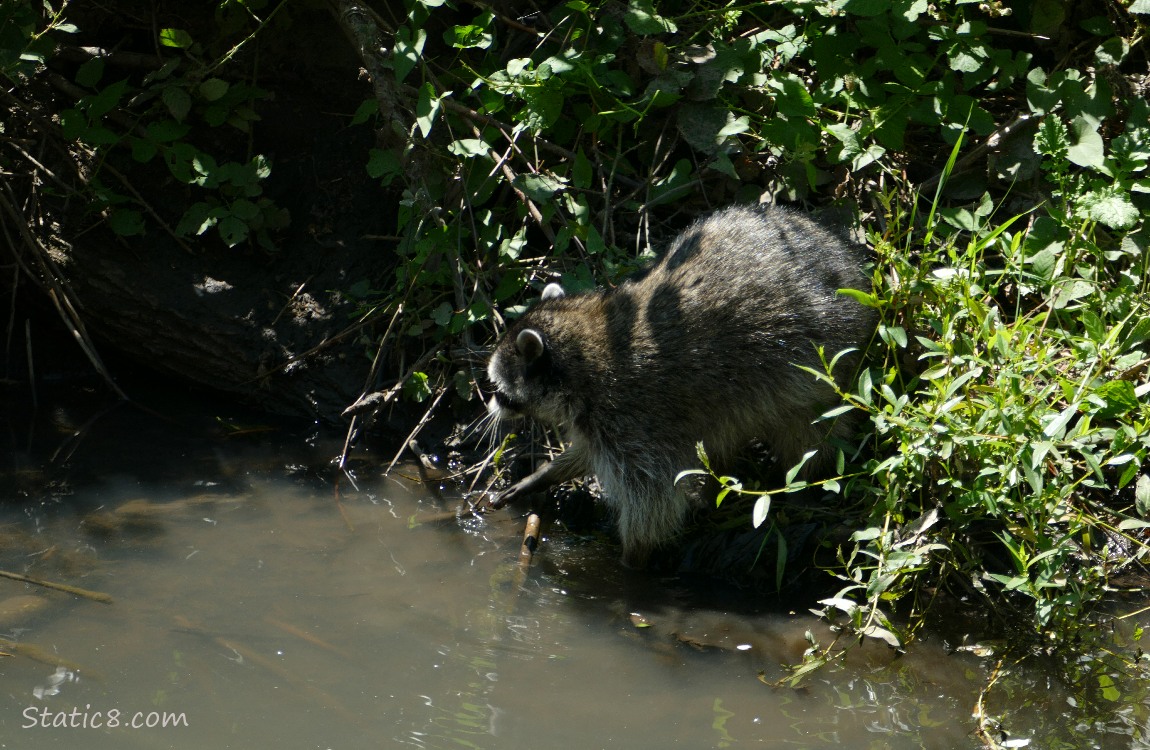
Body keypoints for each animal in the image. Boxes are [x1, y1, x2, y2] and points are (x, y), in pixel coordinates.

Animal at [485, 205, 875, 567]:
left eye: (499, 390)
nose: (490, 407)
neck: (583, 348)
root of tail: (848, 265)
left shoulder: (631, 417)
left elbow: (652, 502)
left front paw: (629, 561)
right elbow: (587, 453)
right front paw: (545, 473)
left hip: (818, 361)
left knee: (809, 431)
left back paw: (802, 485)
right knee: (726, 431)